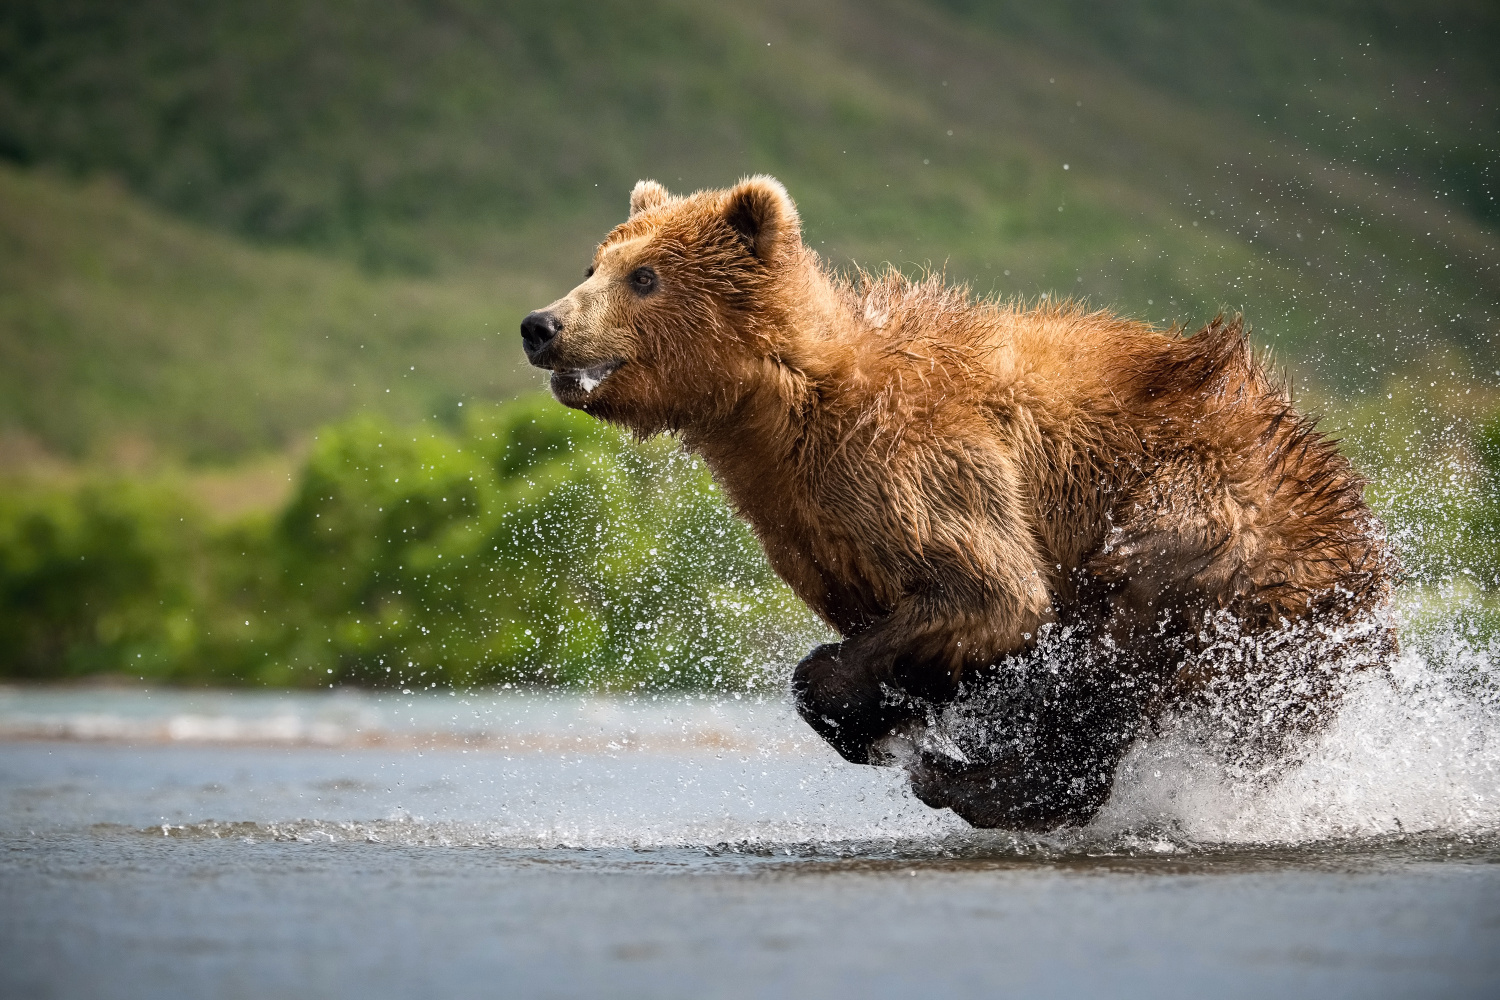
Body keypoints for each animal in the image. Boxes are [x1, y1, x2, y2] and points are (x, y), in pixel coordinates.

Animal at [522, 177, 1398, 827]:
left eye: (644, 276)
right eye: (597, 263)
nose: (543, 324)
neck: (783, 409)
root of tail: (1356, 536)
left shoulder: (921, 461)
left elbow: (992, 592)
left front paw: (865, 708)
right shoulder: (808, 520)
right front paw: (887, 718)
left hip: (1210, 531)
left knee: (1121, 649)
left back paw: (977, 783)